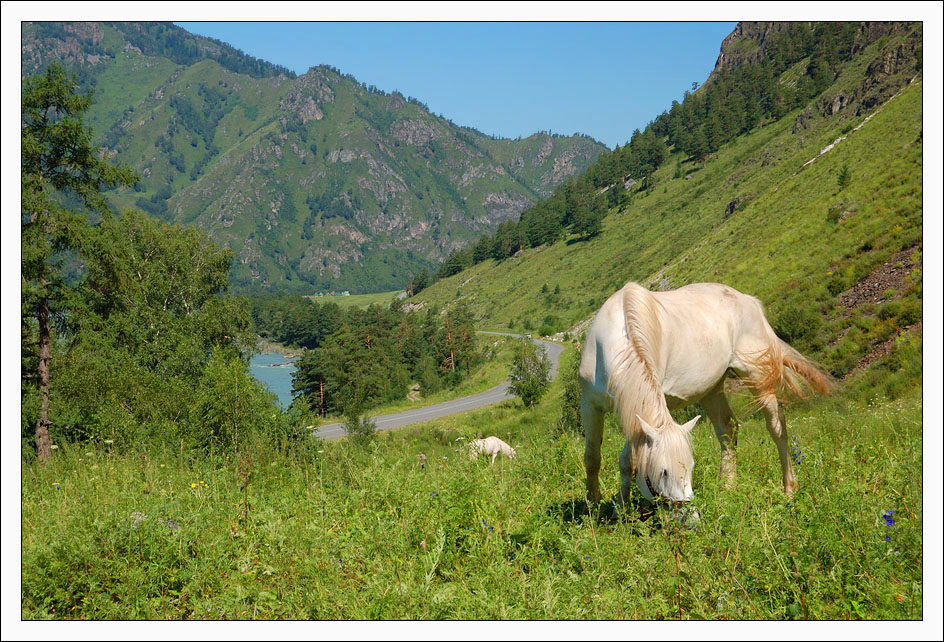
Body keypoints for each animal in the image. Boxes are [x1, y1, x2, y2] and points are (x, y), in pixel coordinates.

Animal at [580, 282, 828, 512]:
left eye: (690, 467)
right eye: (663, 472)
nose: (685, 509)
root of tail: (750, 301)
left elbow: (627, 461)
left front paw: (619, 508)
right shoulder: (591, 405)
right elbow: (593, 457)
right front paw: (596, 504)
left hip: (758, 378)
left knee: (777, 428)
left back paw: (789, 489)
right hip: (712, 390)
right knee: (727, 429)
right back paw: (727, 487)